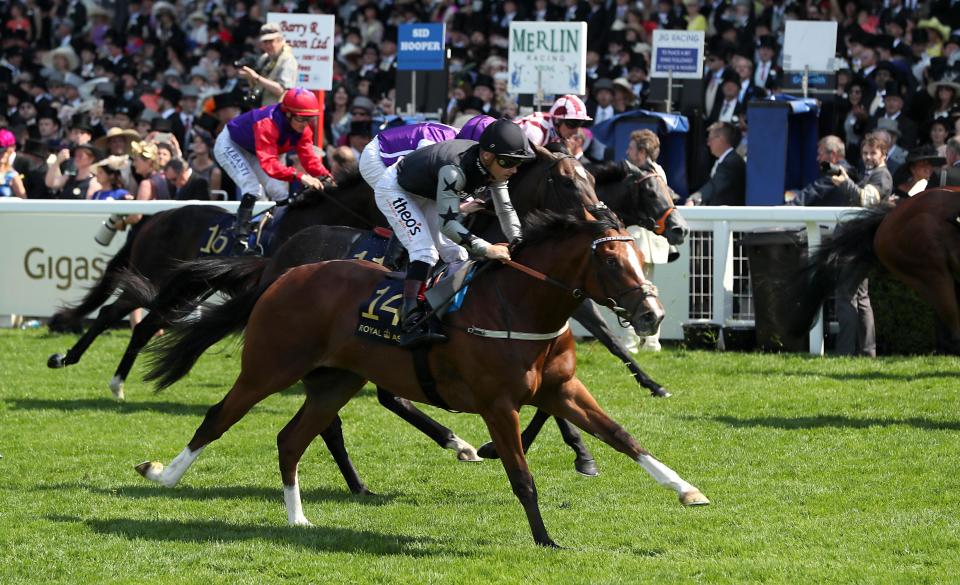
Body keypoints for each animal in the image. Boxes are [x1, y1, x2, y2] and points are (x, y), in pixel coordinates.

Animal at [135, 206, 708, 548]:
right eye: (611, 261)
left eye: (642, 258)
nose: (653, 315)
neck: (519, 306)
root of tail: (282, 273)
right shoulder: (497, 404)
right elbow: (522, 476)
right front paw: (545, 538)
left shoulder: (562, 389)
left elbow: (622, 436)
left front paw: (688, 490)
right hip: (269, 367)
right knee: (219, 417)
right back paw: (163, 474)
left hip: (335, 381)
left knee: (292, 438)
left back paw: (297, 518)